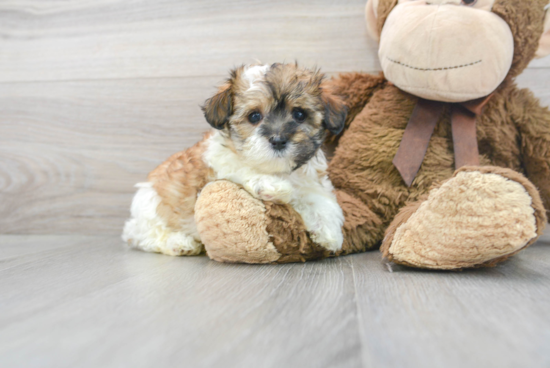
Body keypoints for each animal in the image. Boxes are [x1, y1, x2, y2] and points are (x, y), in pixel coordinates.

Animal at [123, 63, 348, 258]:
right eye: (254, 116)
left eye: (299, 114)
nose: (278, 139)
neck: (276, 169)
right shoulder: (219, 164)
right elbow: (241, 167)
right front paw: (273, 186)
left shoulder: (309, 181)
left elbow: (320, 199)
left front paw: (330, 233)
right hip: (150, 208)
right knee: (142, 235)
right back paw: (179, 243)